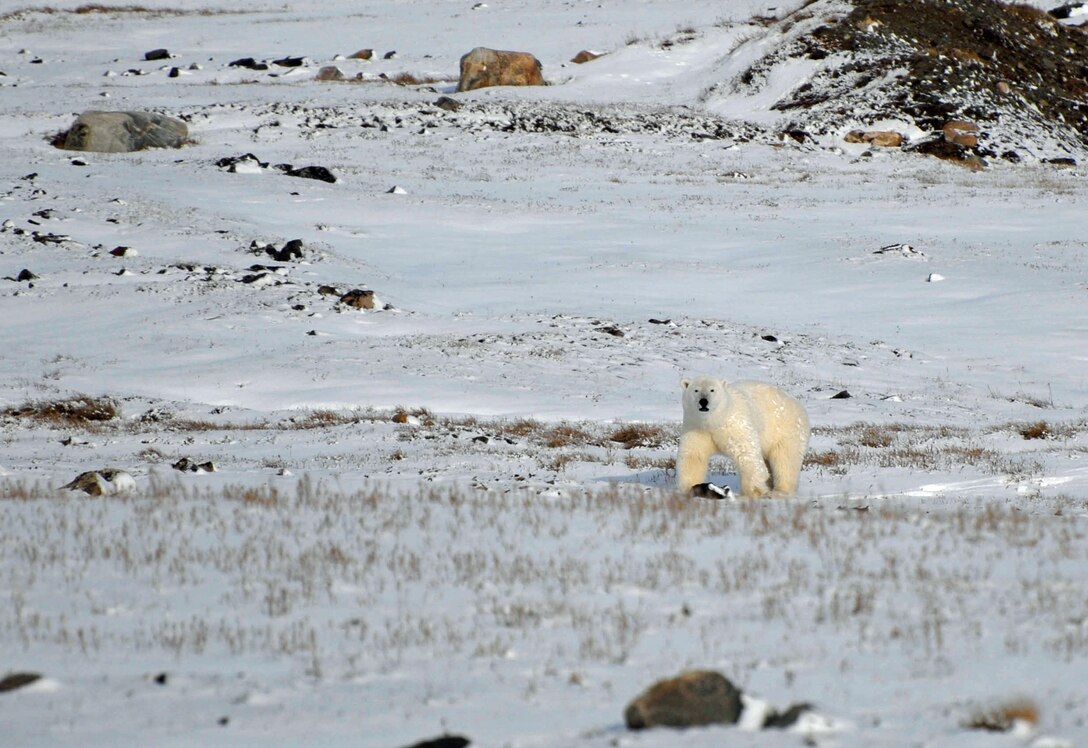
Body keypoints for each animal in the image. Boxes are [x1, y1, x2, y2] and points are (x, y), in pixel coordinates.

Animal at [677, 377, 809, 498]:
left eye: (712, 390)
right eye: (696, 390)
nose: (703, 401)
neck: (714, 421)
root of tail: (796, 402)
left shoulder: (735, 425)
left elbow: (746, 454)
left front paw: (753, 492)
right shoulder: (696, 427)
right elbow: (693, 456)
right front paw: (692, 487)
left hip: (785, 429)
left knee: (785, 459)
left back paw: (780, 491)